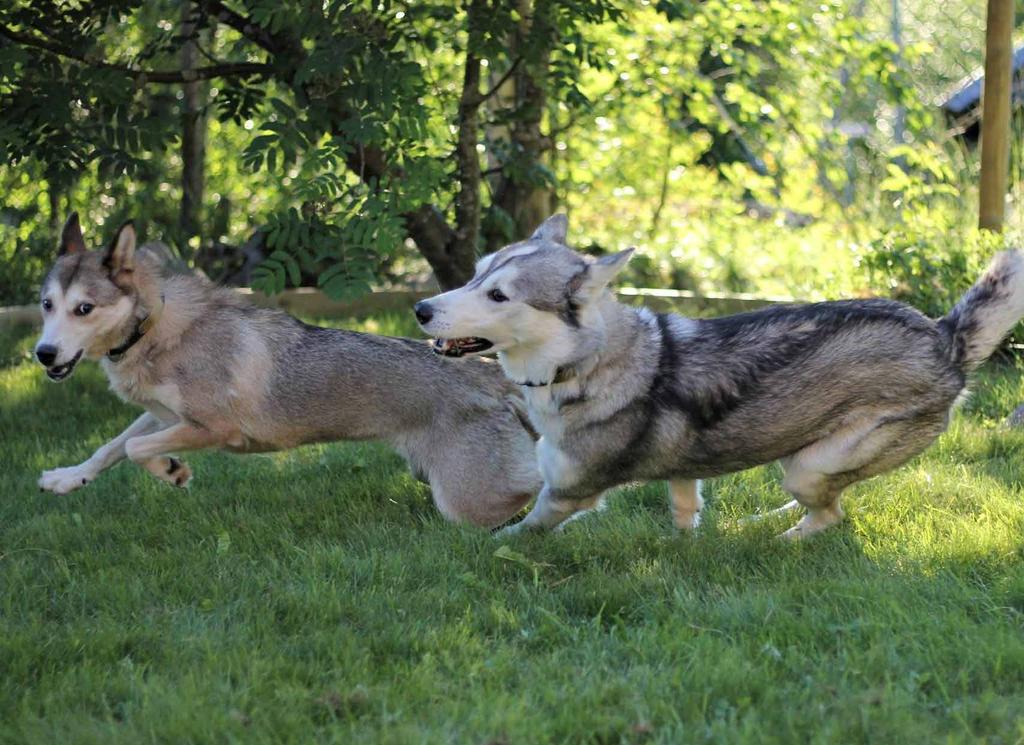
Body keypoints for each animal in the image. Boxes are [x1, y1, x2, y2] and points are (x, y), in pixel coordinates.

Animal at [32, 213, 540, 528]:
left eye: (84, 308)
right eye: (46, 304)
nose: (43, 354)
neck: (153, 329)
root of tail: (495, 375)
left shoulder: (212, 428)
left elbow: (134, 448)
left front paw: (171, 471)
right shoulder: (164, 415)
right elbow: (110, 446)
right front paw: (67, 478)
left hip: (466, 500)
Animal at [413, 213, 1024, 536]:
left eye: (498, 296)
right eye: (474, 275)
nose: (419, 309)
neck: (582, 365)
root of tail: (943, 337)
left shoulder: (566, 494)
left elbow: (521, 531)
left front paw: (485, 547)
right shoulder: (683, 473)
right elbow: (685, 510)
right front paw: (687, 546)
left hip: (811, 467)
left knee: (831, 516)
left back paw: (781, 540)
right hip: (804, 460)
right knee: (826, 502)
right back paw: (761, 522)